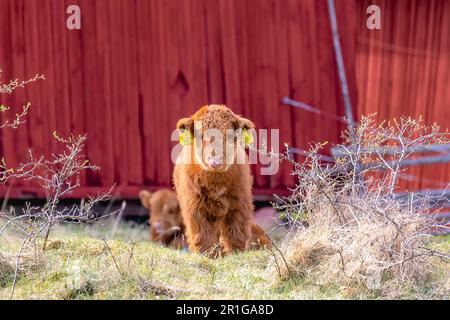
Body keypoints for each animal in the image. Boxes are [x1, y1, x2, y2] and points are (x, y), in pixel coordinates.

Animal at [172, 106, 266, 256]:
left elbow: (236, 233)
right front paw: (208, 255)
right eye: (201, 135)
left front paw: (235, 254)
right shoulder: (195, 208)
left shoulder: (239, 204)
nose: (215, 160)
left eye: (229, 135)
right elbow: (203, 236)